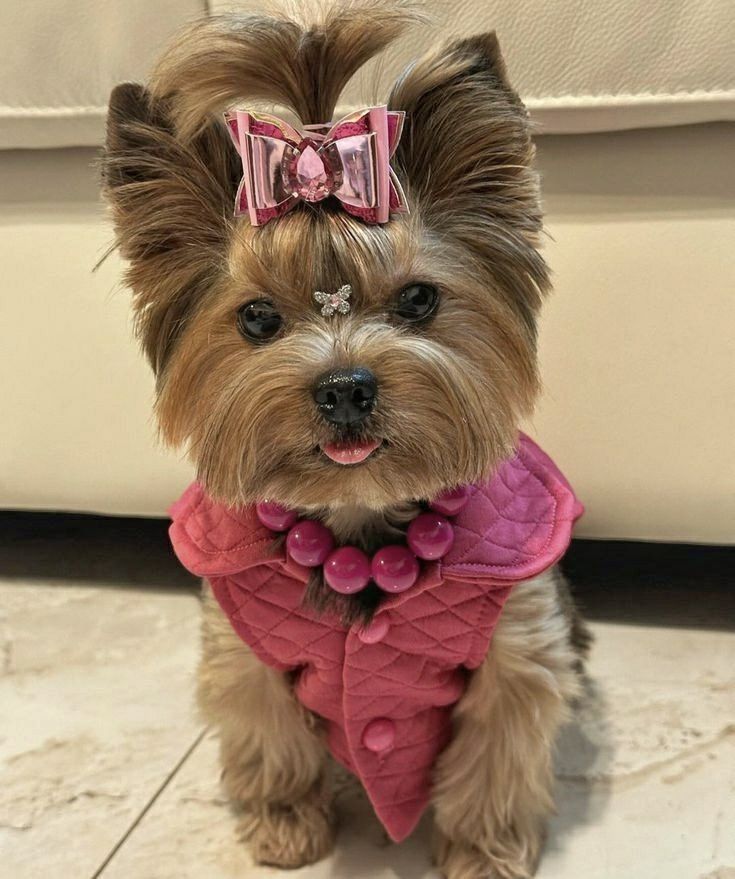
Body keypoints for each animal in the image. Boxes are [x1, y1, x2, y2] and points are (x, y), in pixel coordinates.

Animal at [103, 3, 588, 876]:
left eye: (418, 300)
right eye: (258, 317)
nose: (344, 387)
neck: (358, 515)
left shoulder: (516, 649)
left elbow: (495, 757)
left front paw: (481, 850)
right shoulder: (244, 651)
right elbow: (265, 732)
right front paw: (287, 822)